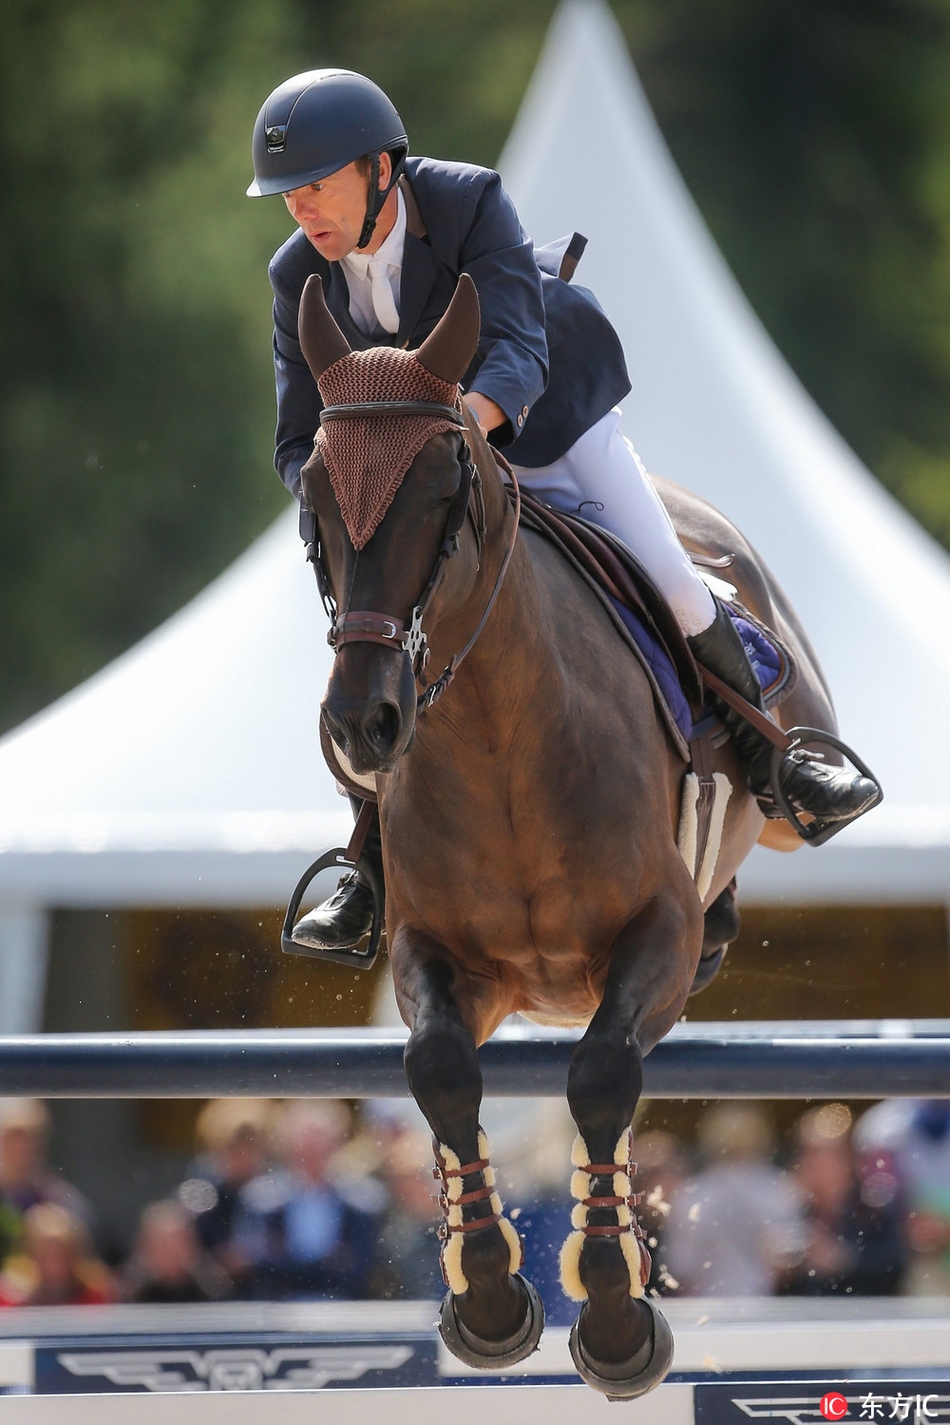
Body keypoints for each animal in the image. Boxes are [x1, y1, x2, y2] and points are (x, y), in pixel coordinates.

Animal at [294, 272, 837, 1396]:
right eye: (312, 494)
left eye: (443, 490)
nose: (362, 724)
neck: (498, 735)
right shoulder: (442, 954)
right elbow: (440, 1071)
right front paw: (491, 1303)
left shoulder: (650, 936)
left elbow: (598, 1076)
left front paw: (618, 1319)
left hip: (783, 781)